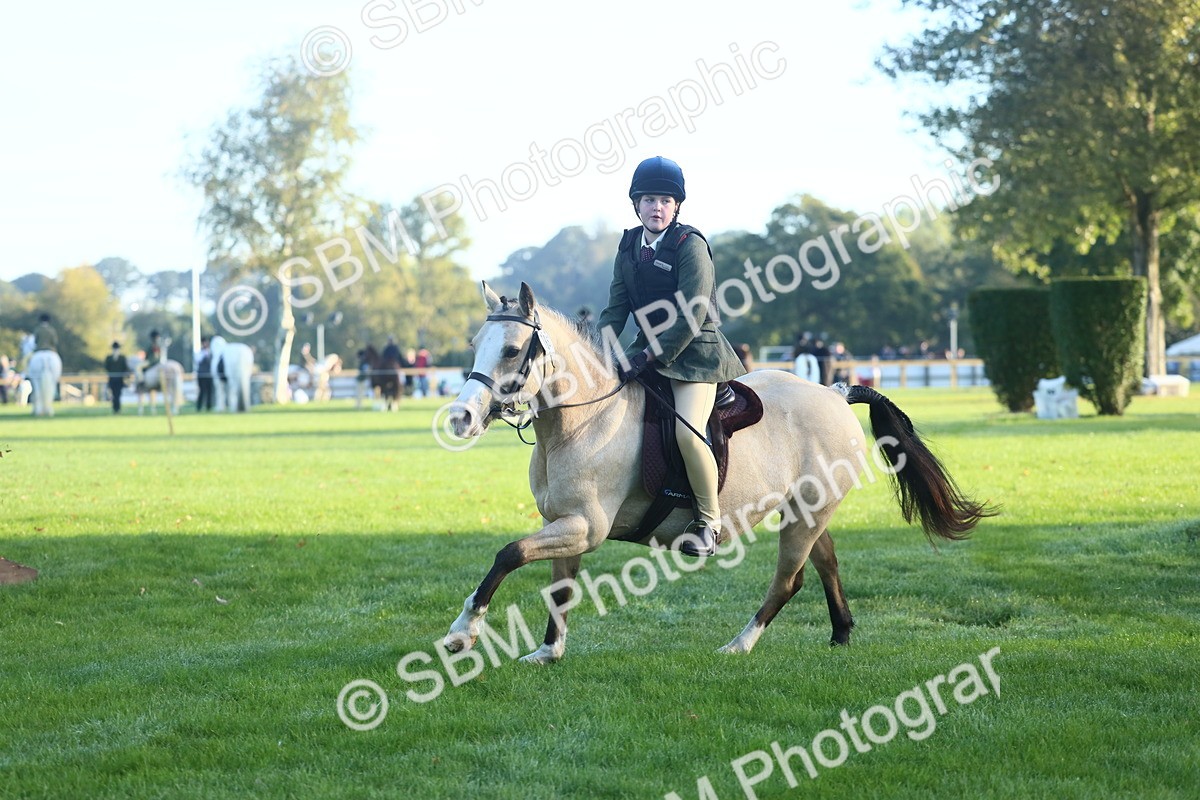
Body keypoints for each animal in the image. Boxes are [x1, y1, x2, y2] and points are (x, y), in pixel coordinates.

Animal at [443, 282, 993, 663]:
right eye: (475, 343)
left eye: (512, 349)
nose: (461, 418)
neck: (582, 421)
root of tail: (834, 392)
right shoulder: (564, 523)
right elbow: (559, 589)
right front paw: (549, 652)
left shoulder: (584, 526)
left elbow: (508, 554)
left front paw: (463, 631)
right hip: (808, 510)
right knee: (826, 564)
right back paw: (840, 634)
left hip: (804, 517)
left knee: (788, 581)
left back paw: (739, 645)